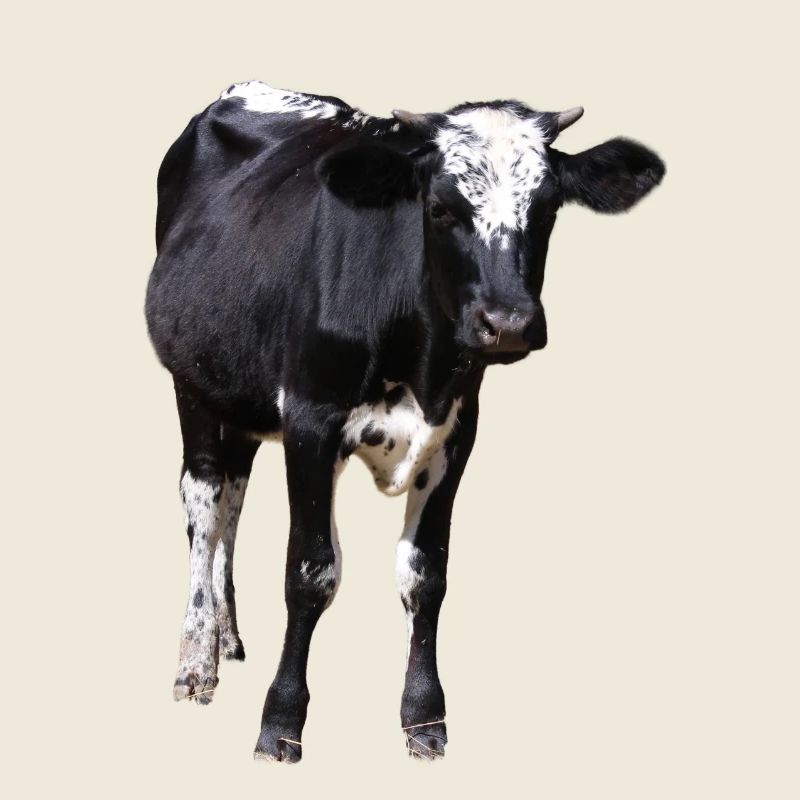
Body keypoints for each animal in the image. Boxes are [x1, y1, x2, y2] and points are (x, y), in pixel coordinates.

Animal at [145, 80, 665, 762]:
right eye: (440, 207)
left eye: (549, 206)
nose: (509, 323)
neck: (420, 363)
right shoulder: (311, 420)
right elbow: (309, 571)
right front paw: (280, 720)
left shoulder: (455, 432)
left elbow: (426, 575)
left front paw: (424, 716)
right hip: (193, 384)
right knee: (204, 505)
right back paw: (196, 658)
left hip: (244, 394)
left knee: (233, 495)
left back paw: (228, 639)